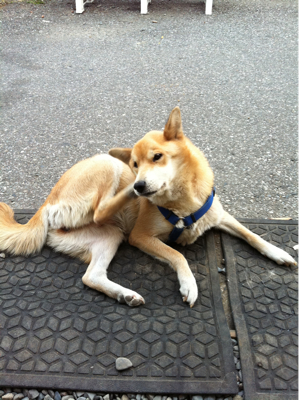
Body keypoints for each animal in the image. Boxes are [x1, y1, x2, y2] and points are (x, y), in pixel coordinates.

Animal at [0, 106, 296, 306]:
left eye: (157, 157)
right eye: (134, 164)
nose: (140, 184)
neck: (182, 203)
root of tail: (46, 203)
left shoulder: (219, 216)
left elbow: (251, 234)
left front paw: (278, 253)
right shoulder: (141, 236)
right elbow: (177, 255)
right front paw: (188, 284)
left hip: (109, 235)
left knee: (91, 276)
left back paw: (124, 294)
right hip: (107, 166)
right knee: (99, 212)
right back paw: (127, 194)